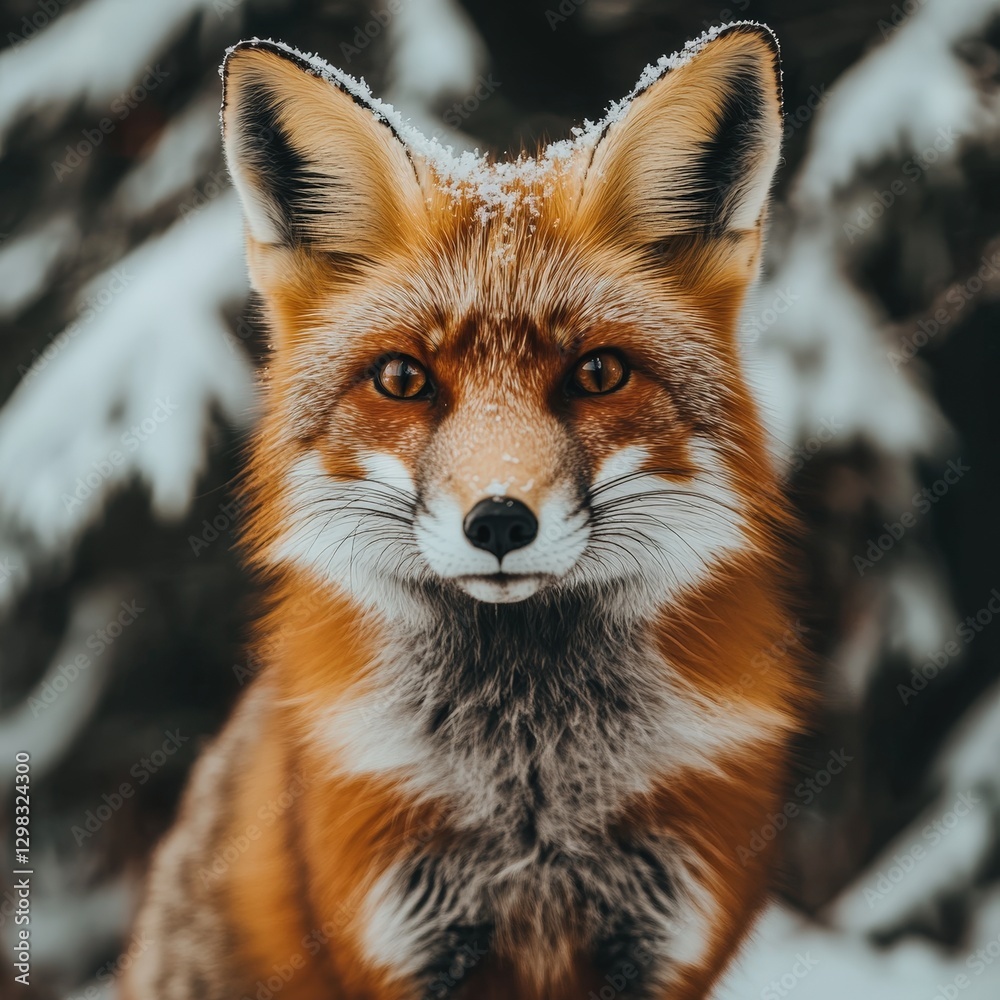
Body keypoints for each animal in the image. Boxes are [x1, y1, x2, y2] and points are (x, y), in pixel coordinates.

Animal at [126, 22, 810, 1000]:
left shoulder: (665, 938)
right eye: (403, 379)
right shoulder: (402, 938)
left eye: (598, 372)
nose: (499, 523)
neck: (532, 779)